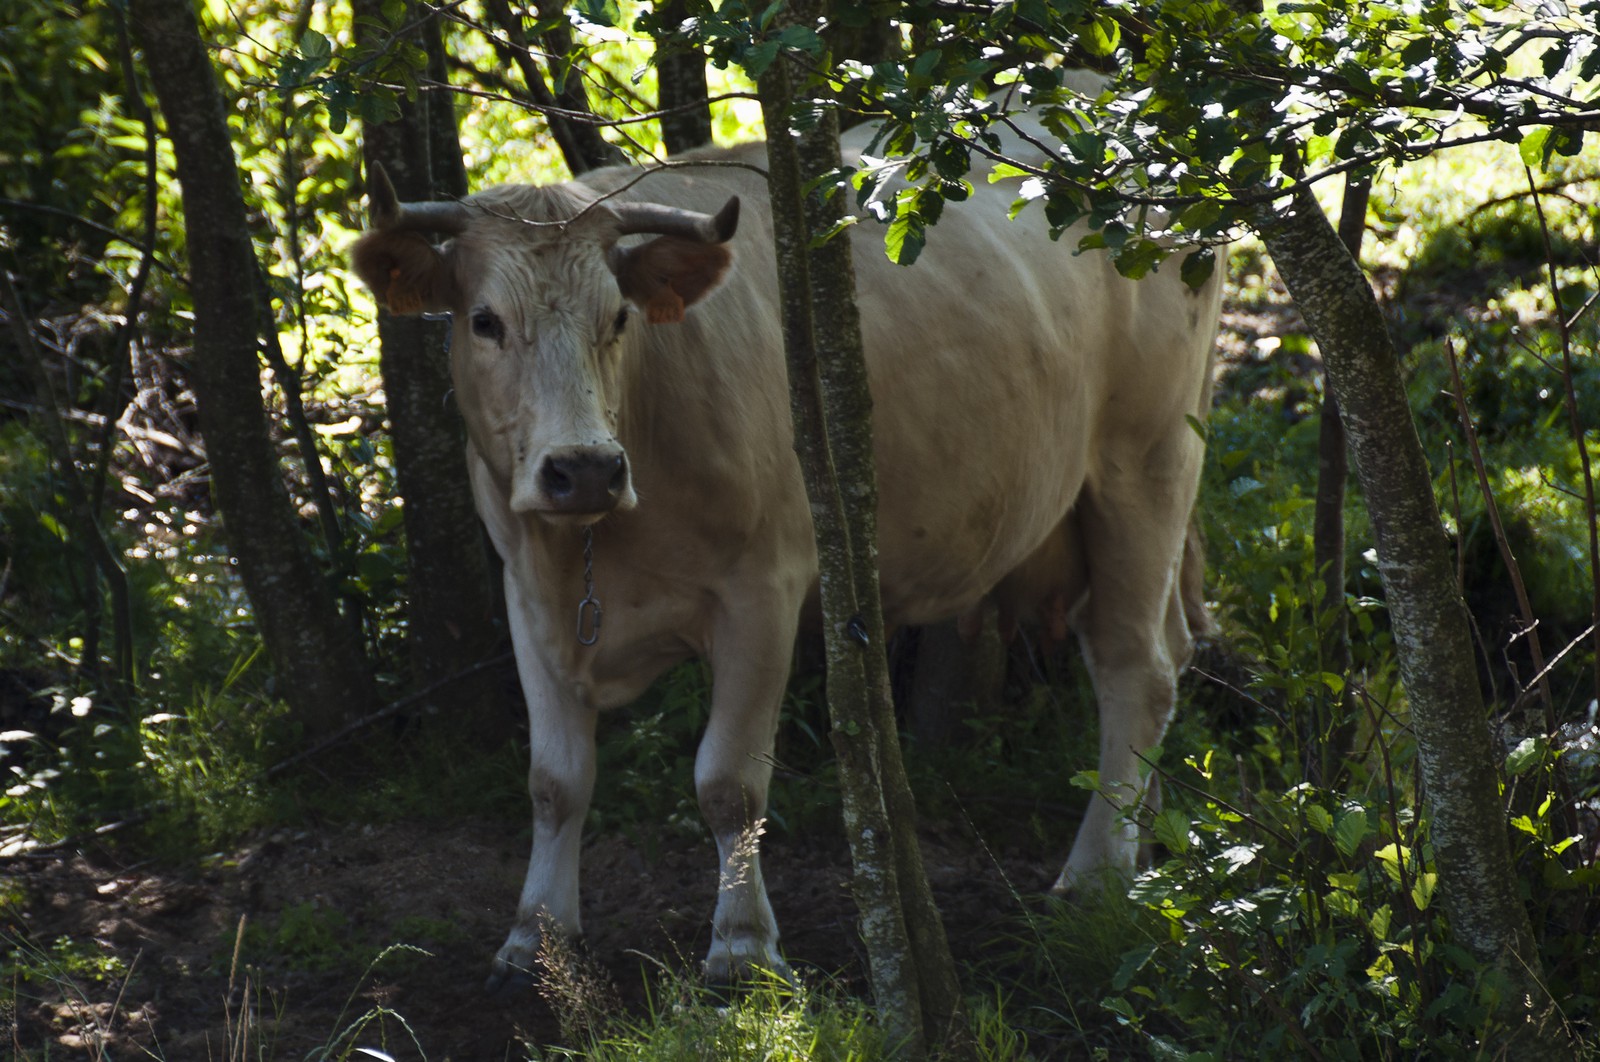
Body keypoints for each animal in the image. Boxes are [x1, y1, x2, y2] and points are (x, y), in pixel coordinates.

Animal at [350, 120, 1222, 988]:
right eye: (483, 321)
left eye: (620, 318)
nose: (585, 468)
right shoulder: (529, 595)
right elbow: (554, 782)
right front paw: (538, 935)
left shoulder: (762, 590)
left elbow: (728, 780)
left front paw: (740, 945)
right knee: (1167, 654)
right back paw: (1140, 839)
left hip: (1145, 462)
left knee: (1136, 667)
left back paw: (1097, 873)